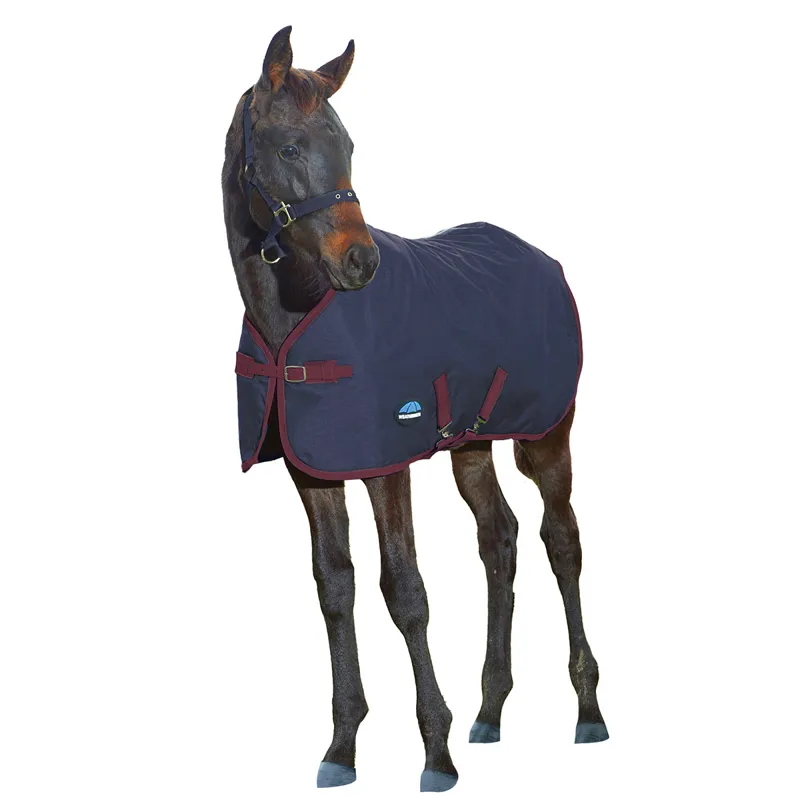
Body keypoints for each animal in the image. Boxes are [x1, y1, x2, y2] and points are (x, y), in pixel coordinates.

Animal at [221, 25, 608, 793]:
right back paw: (490, 711)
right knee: (499, 538)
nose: (360, 262)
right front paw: (342, 749)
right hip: (471, 445)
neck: (294, 322)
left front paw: (436, 753)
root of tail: (544, 260)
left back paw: (586, 711)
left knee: (561, 541)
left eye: (347, 144)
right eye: (289, 148)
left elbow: (404, 590)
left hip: (547, 437)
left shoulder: (384, 464)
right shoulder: (313, 472)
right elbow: (336, 587)